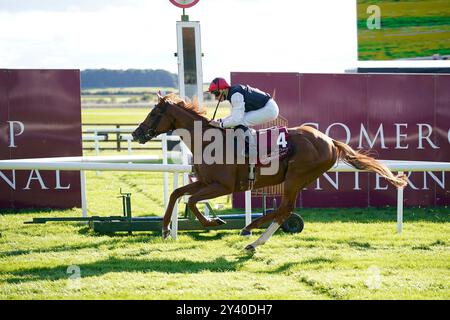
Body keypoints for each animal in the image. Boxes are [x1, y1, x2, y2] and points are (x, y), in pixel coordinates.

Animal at [131, 94, 408, 251]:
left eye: (154, 113)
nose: (136, 133)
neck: (208, 140)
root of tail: (329, 141)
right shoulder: (205, 181)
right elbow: (177, 194)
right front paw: (165, 228)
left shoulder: (223, 186)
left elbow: (191, 201)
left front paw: (214, 221)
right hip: (297, 179)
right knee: (284, 210)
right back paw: (254, 239)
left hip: (296, 177)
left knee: (285, 209)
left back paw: (251, 233)